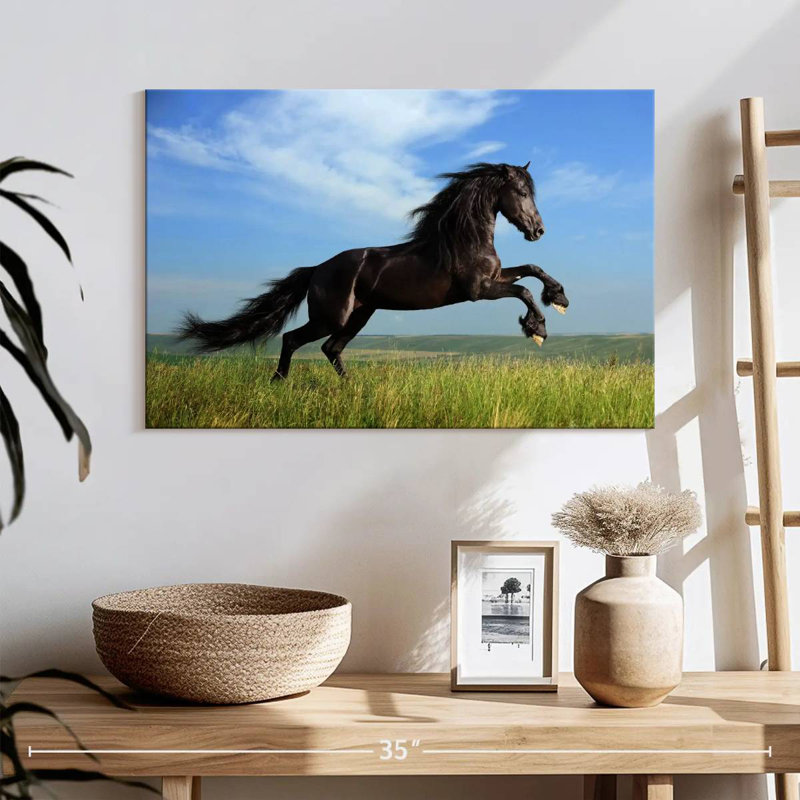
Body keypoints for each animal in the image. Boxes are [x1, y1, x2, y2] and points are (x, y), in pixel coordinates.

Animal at [178, 162, 570, 380]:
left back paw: (350, 389)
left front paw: (559, 298)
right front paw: (537, 329)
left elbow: (532, 269)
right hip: (332, 317)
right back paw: (278, 382)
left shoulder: (493, 278)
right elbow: (523, 290)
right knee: (294, 339)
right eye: (521, 192)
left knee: (331, 349)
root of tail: (316, 269)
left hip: (360, 315)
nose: (538, 230)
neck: (463, 239)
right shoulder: (479, 290)